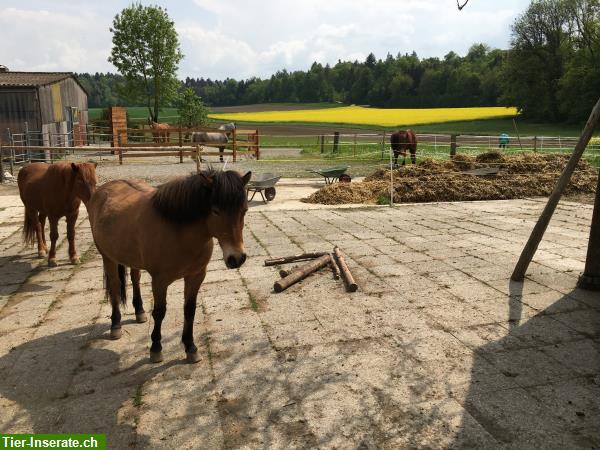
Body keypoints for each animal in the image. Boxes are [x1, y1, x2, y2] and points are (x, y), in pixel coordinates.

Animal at [86, 168, 251, 362]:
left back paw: (140, 312)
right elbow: (159, 312)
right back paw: (116, 325)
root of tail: (103, 189)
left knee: (135, 278)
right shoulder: (160, 281)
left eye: (244, 210)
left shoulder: (196, 276)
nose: (237, 258)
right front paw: (156, 348)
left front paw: (190, 347)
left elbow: (189, 310)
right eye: (216, 211)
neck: (177, 229)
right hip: (108, 258)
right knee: (114, 287)